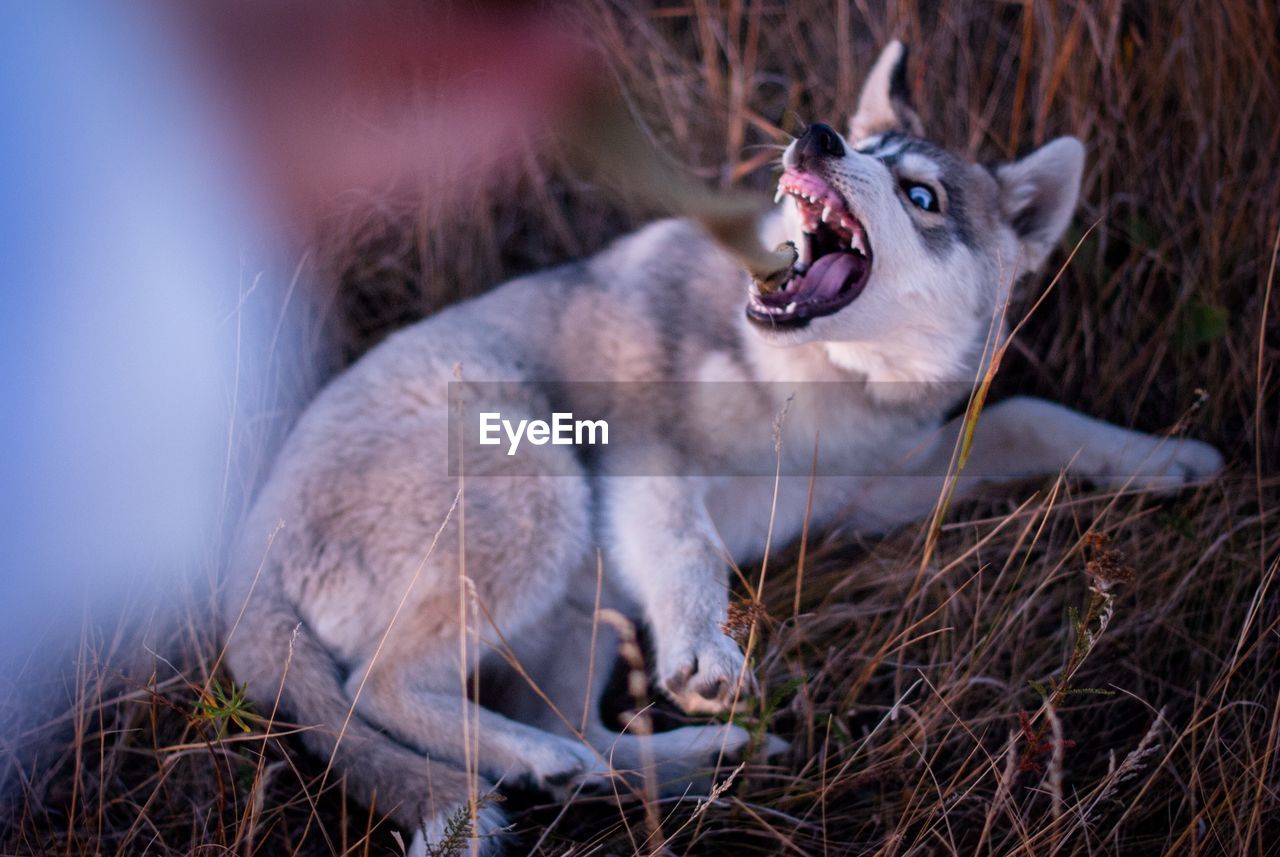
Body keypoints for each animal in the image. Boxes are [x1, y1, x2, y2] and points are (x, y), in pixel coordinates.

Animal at [220, 38, 1218, 854]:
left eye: (922, 195)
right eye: (865, 150)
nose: (817, 139)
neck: (816, 378)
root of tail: (244, 574)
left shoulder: (869, 486)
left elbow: (1026, 416)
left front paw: (1159, 456)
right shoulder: (644, 460)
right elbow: (689, 544)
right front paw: (708, 649)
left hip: (581, 594)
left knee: (579, 730)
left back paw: (683, 760)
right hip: (540, 479)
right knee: (375, 685)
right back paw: (544, 754)